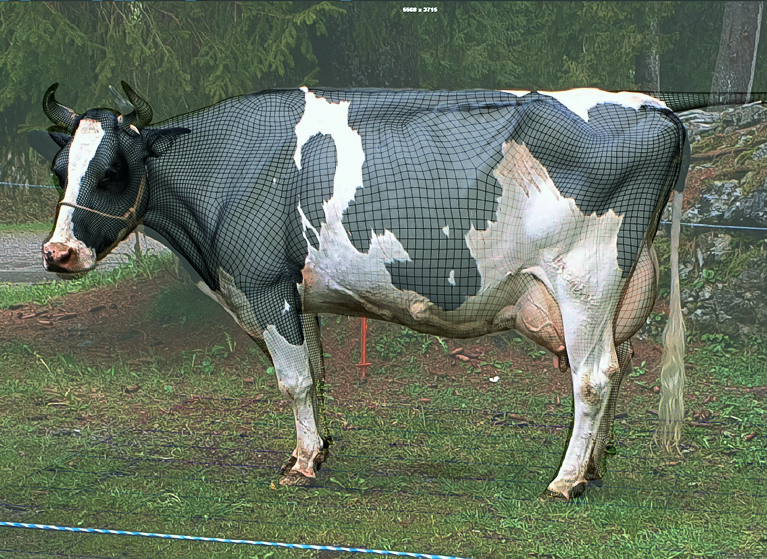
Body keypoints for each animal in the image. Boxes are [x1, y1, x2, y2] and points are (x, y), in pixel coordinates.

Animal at [36, 82, 727, 501]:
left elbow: (294, 379)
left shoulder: (262, 282)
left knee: (594, 376)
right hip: (618, 289)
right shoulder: (297, 292)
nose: (58, 253)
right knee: (621, 365)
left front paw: (302, 465)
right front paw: (319, 450)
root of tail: (658, 107)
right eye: (59, 168)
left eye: (114, 170)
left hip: (585, 279)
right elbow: (316, 372)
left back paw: (565, 480)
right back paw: (595, 469)